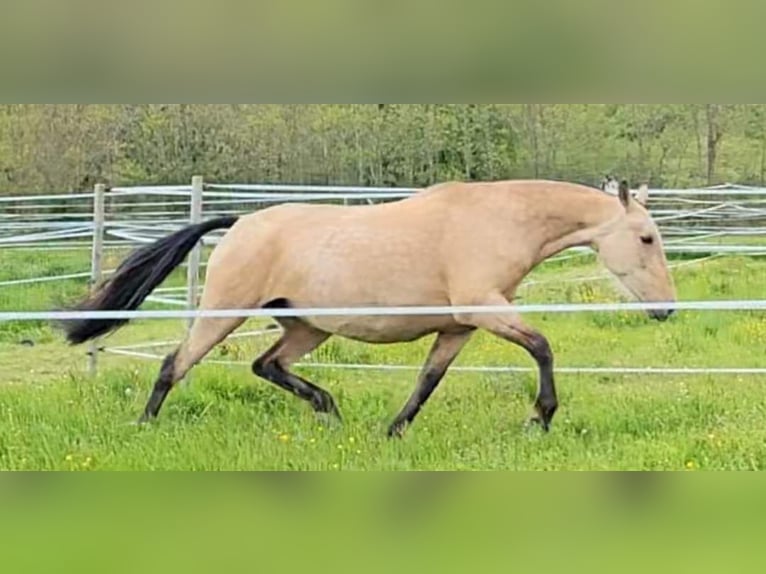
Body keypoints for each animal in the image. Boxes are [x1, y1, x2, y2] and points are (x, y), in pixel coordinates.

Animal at [60, 180, 680, 436]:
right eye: (647, 238)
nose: (669, 309)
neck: (496, 219)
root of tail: (240, 223)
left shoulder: (459, 327)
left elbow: (428, 381)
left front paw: (394, 430)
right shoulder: (484, 309)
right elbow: (543, 347)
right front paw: (540, 418)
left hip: (307, 327)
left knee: (267, 365)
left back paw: (329, 410)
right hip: (224, 314)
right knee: (175, 363)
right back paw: (145, 426)